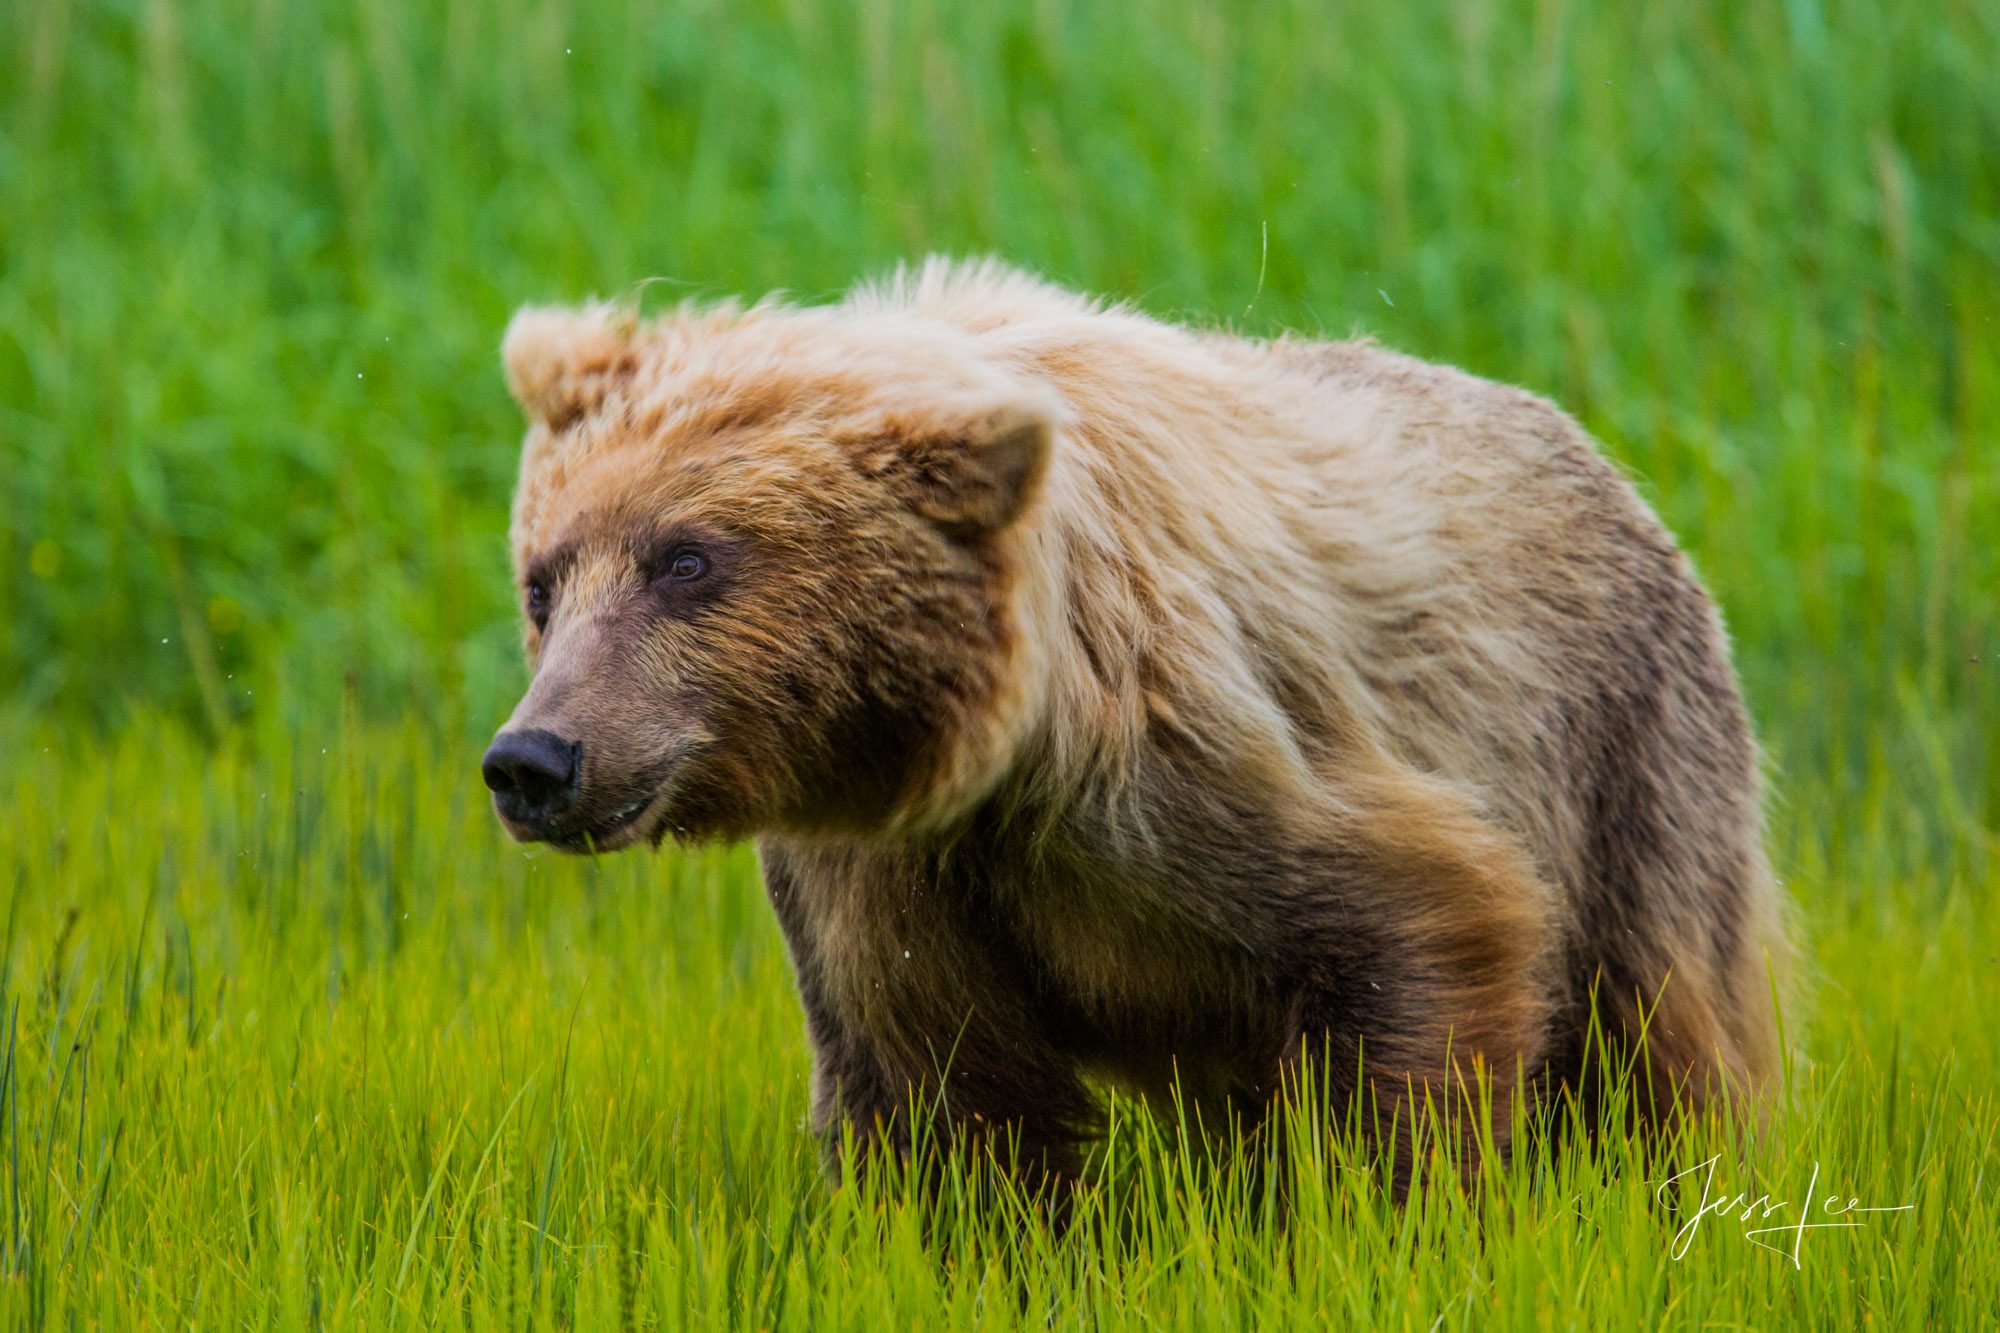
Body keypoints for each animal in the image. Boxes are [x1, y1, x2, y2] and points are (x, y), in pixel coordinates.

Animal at [480, 256, 1784, 1184]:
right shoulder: (888, 870)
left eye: (686, 560)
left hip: (1626, 755)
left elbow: (1421, 930)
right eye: (543, 580)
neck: (993, 740)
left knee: (1659, 1024)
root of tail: (1605, 461)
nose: (534, 758)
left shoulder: (1190, 762)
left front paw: (1380, 1214)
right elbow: (940, 1090)